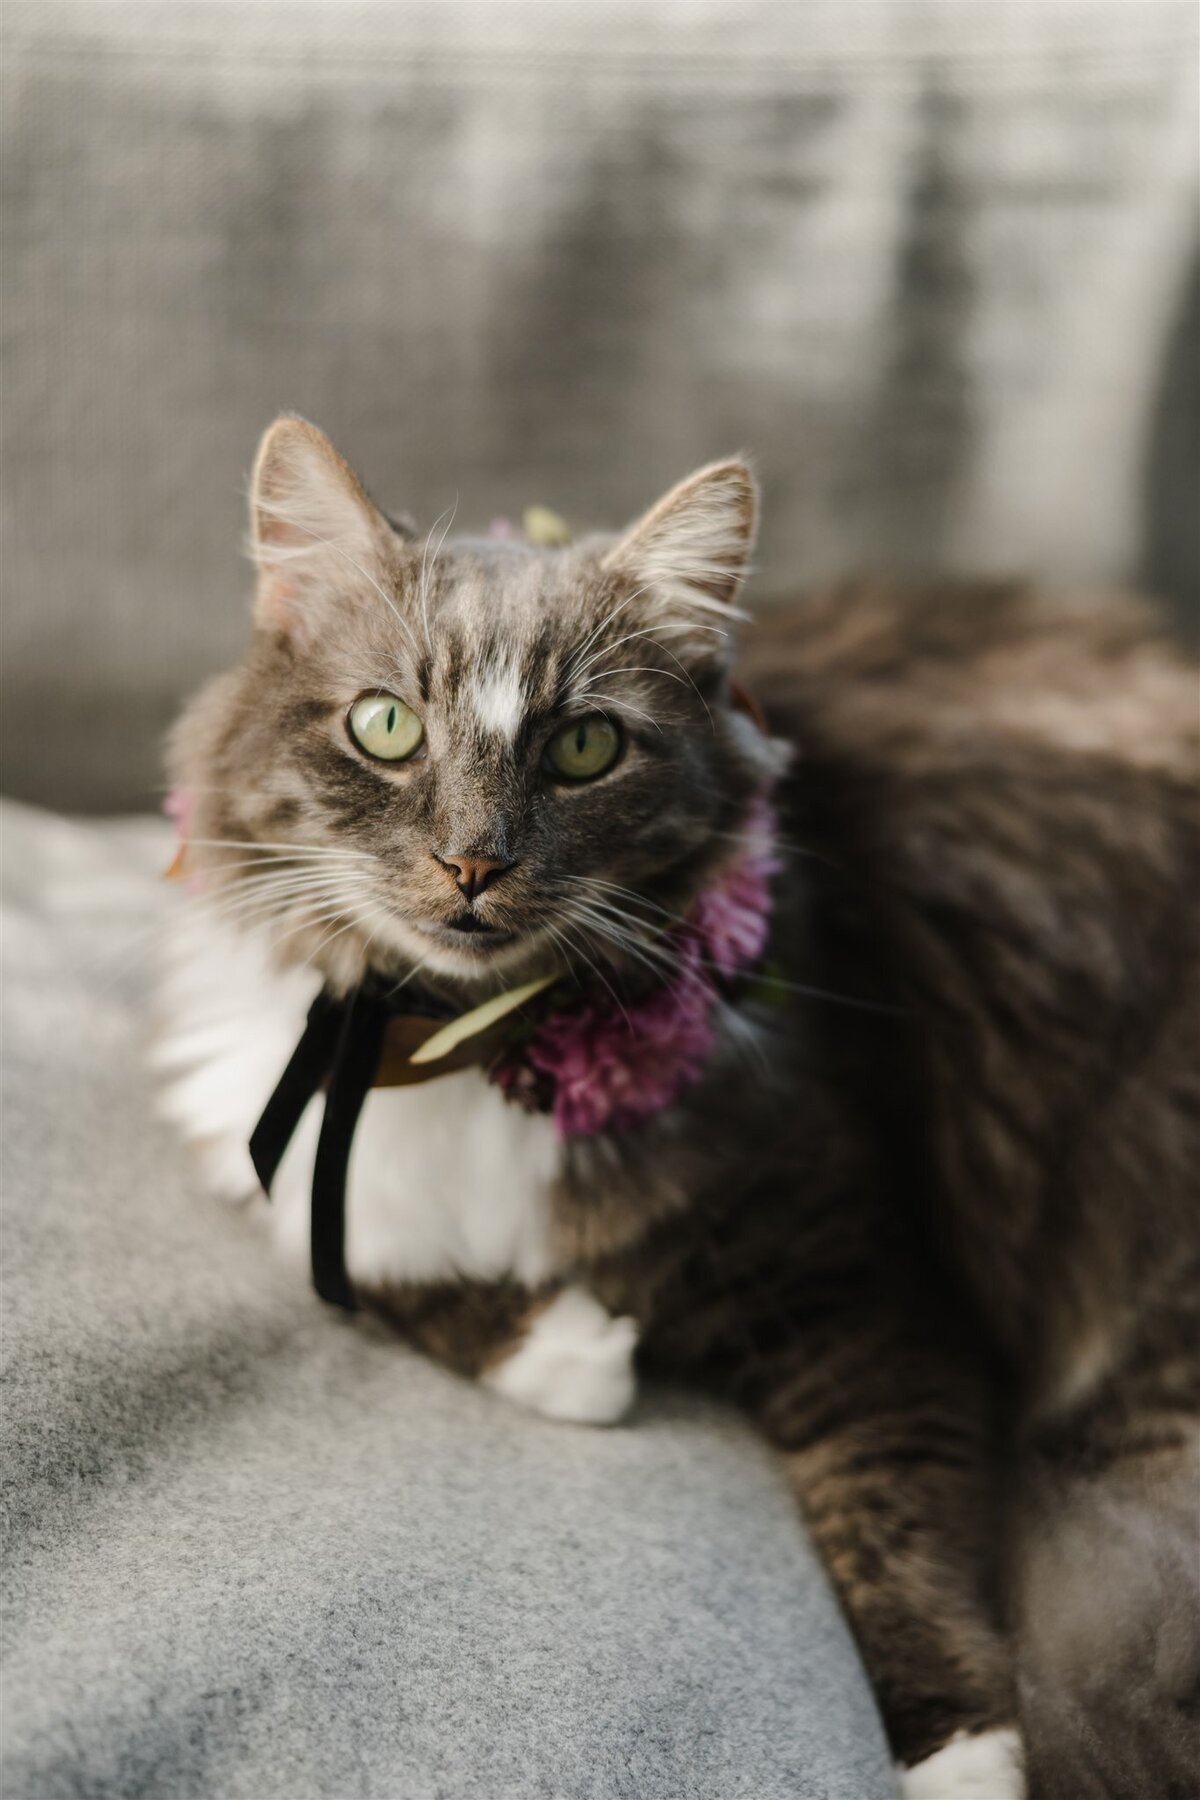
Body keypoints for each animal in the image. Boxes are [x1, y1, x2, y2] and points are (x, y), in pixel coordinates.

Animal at [152, 414, 1200, 1792]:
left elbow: (896, 1526)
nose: (473, 862)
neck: (465, 1041)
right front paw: (573, 1354)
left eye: (584, 747)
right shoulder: (268, 1133)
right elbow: (358, 1251)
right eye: (385, 726)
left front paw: (964, 1758)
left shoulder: (867, 1284)